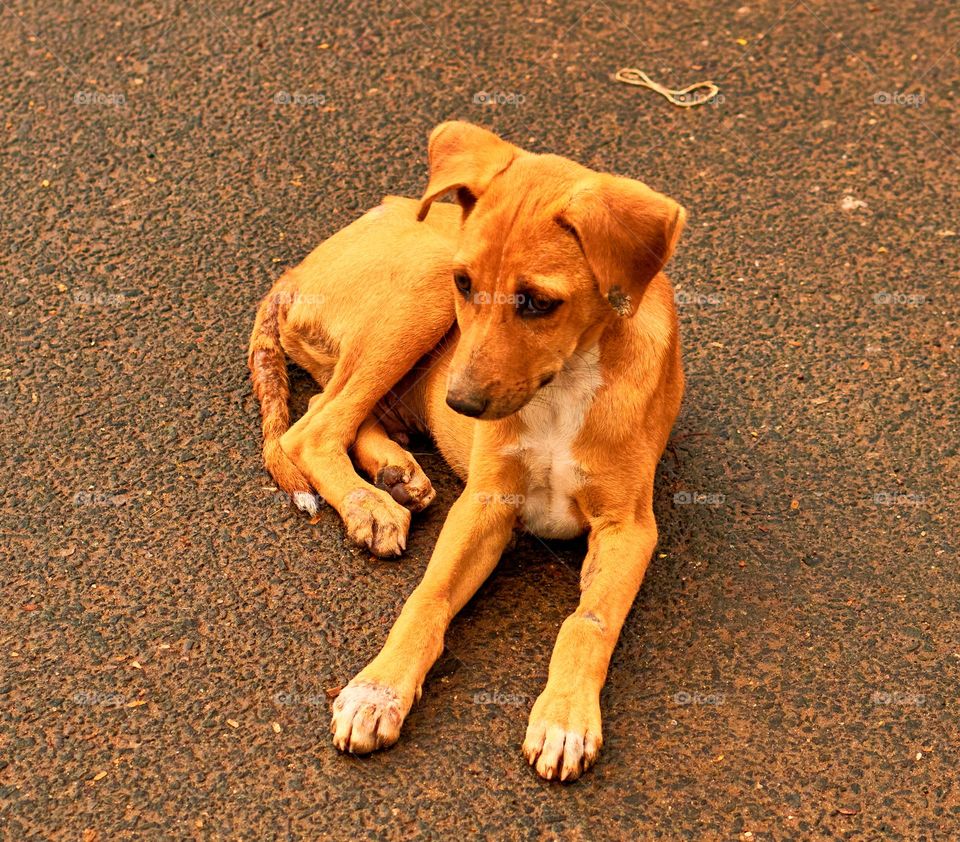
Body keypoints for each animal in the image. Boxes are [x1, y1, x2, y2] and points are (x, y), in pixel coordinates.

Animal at [248, 120, 684, 780]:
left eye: (537, 301)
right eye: (467, 285)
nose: (460, 403)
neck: (565, 384)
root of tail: (294, 271)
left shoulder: (629, 526)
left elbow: (587, 621)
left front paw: (564, 718)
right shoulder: (483, 502)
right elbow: (427, 599)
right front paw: (377, 690)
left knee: (336, 413)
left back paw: (395, 474)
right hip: (420, 289)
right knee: (314, 426)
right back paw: (370, 505)